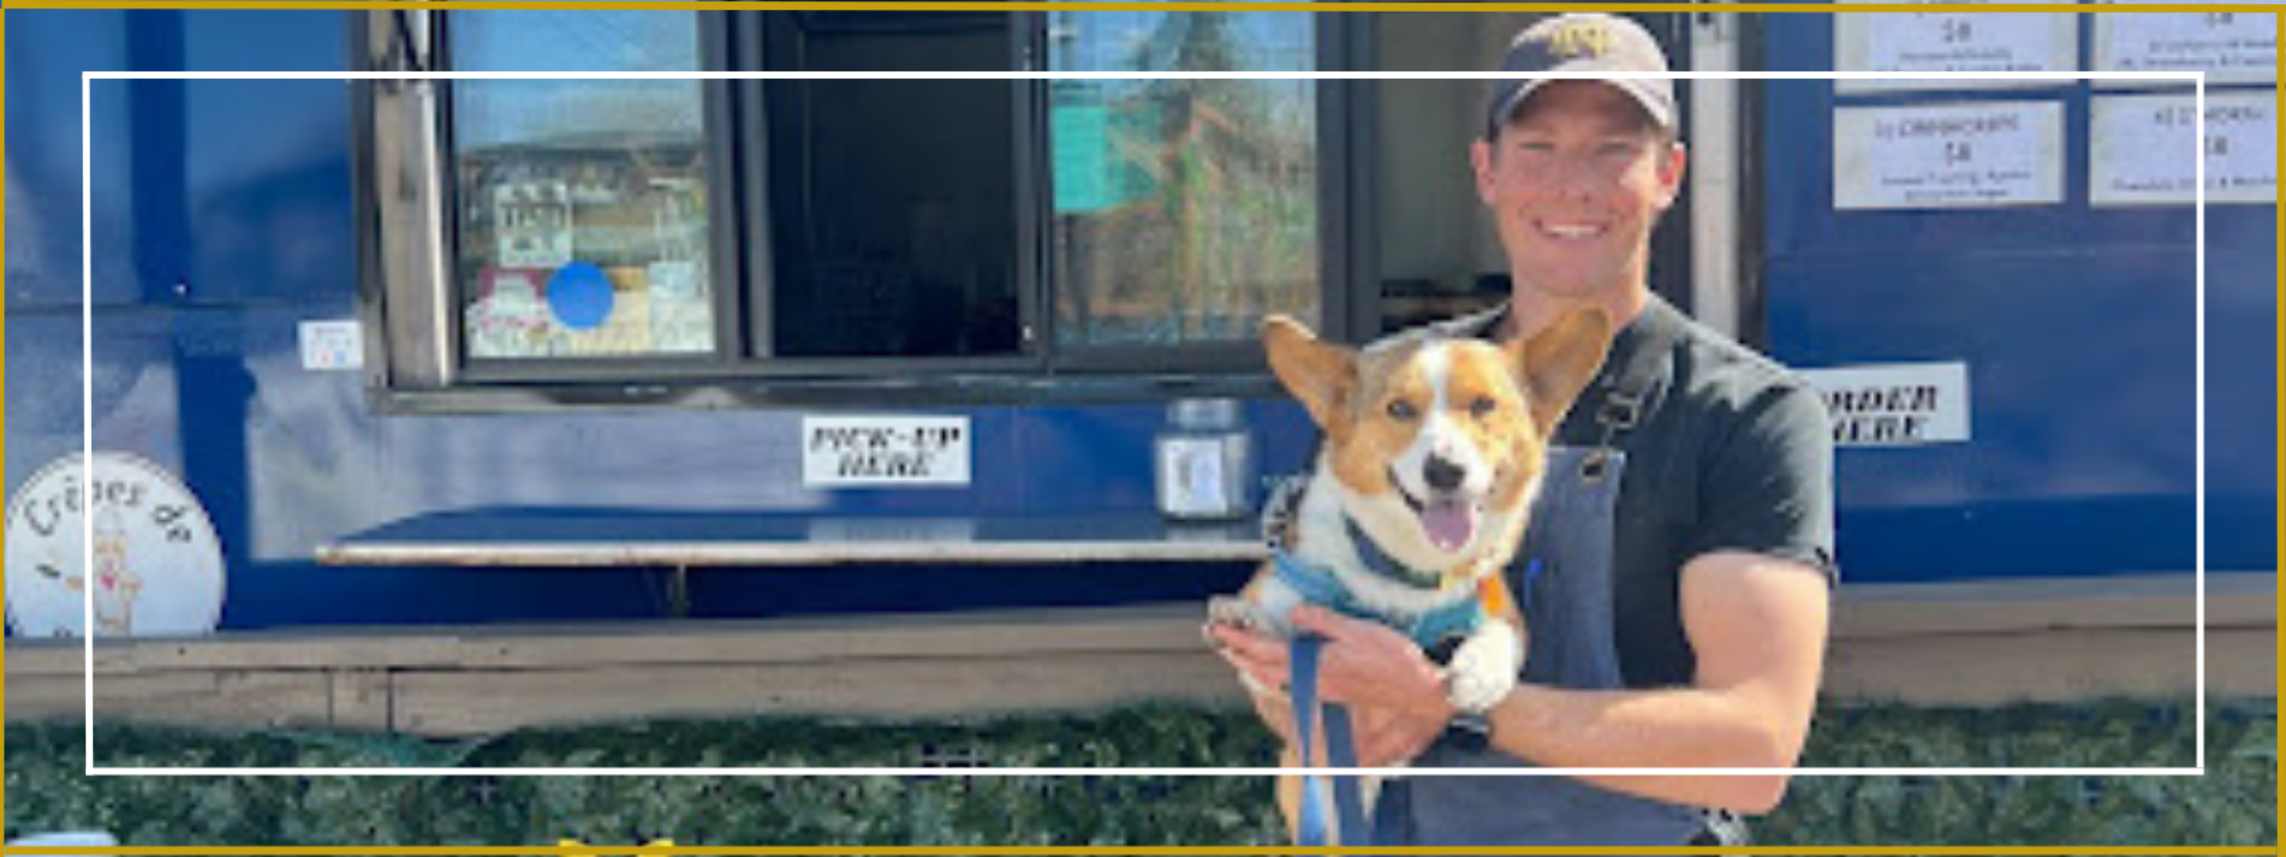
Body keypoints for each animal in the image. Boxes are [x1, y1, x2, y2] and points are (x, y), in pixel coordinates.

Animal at [1208, 307, 1613, 842]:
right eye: (1399, 409)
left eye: (1484, 405)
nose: (1445, 471)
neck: (1405, 571)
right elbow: (1268, 628)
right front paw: (1247, 621)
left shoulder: (1501, 609)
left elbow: (1498, 636)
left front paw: (1478, 675)